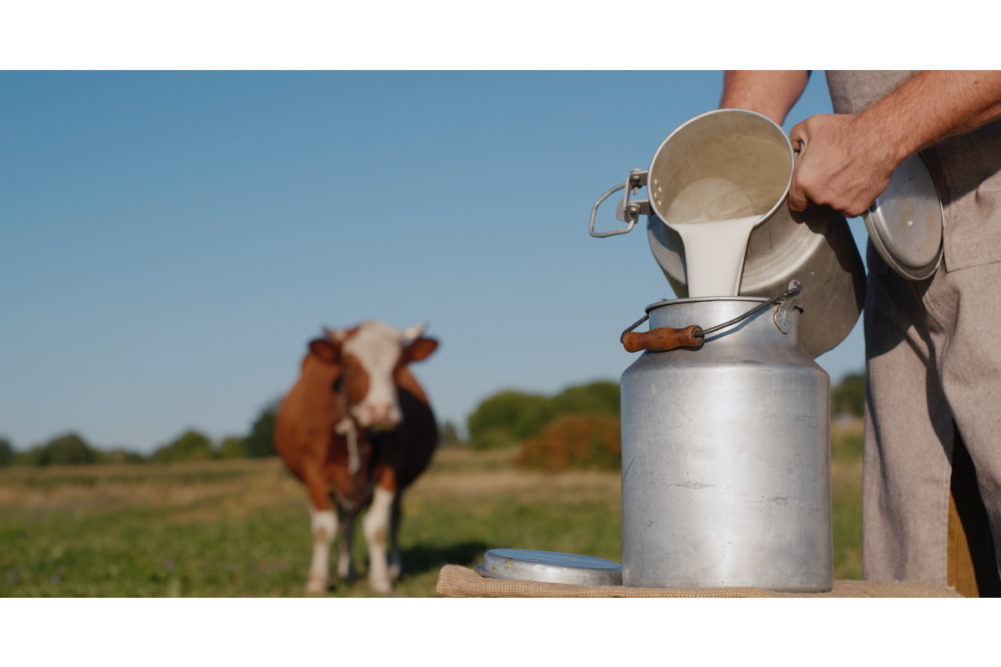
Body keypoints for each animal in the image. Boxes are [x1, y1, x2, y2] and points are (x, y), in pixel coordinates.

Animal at [278, 318, 442, 592]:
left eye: (399, 366)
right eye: (350, 366)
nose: (381, 411)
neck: (357, 431)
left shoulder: (390, 471)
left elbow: (378, 527)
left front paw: (380, 580)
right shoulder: (313, 470)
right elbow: (323, 528)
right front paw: (317, 582)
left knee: (392, 520)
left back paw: (391, 568)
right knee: (344, 521)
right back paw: (346, 570)